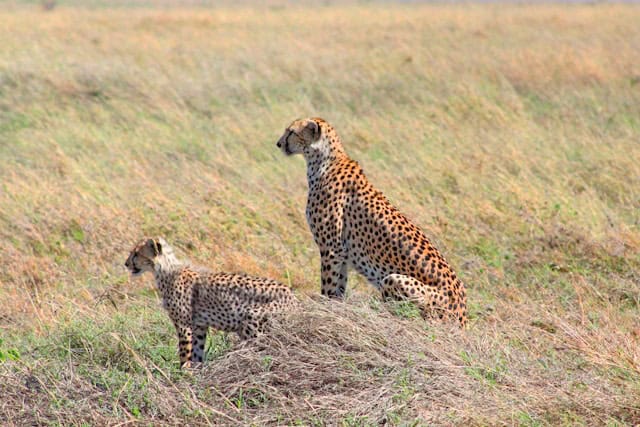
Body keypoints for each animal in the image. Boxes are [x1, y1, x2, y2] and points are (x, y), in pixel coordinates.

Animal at [125, 237, 300, 368]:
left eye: (136, 254)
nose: (126, 264)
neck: (166, 270)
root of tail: (293, 296)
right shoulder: (199, 325)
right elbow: (196, 350)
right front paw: (196, 370)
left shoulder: (184, 325)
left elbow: (184, 352)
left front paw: (183, 373)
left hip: (252, 319)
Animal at [276, 118, 464, 326]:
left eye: (291, 132)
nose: (278, 144)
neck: (323, 161)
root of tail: (463, 318)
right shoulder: (341, 253)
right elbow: (339, 286)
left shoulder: (331, 249)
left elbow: (327, 285)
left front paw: (322, 310)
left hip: (394, 280)